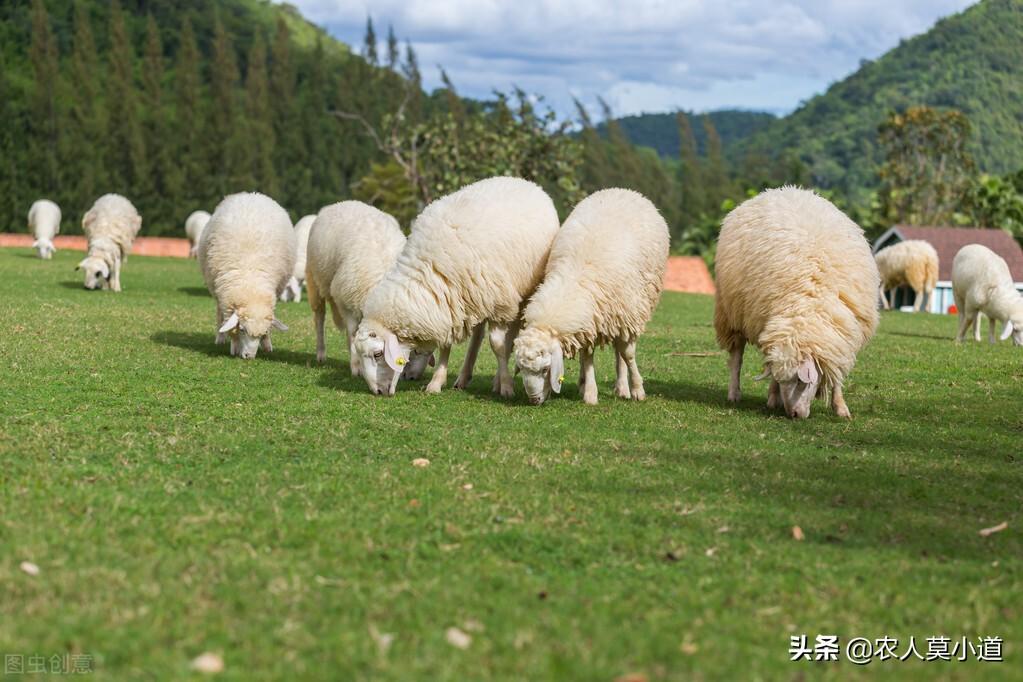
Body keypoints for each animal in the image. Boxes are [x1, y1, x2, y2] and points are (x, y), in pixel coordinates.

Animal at [197, 192, 296, 359]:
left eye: (263, 332)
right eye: (242, 329)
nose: (248, 356)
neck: (250, 280)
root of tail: (250, 195)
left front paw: (267, 345)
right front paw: (234, 346)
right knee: (219, 314)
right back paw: (220, 338)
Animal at [302, 200, 431, 382]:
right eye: (416, 350)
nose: (411, 377)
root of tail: (343, 202)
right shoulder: (347, 302)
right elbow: (352, 333)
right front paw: (356, 368)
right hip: (315, 279)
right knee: (319, 317)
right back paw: (321, 353)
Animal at [351, 175, 560, 396]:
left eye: (377, 354)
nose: (378, 391)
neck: (427, 269)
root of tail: (525, 181)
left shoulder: (499, 303)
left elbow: (498, 345)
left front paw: (506, 385)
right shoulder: (450, 303)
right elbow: (446, 346)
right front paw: (436, 382)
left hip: (522, 290)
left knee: (508, 337)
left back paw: (497, 380)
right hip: (478, 298)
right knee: (478, 335)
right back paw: (463, 377)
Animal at [511, 187, 671, 404]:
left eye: (545, 369)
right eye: (522, 369)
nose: (534, 400)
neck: (575, 278)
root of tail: (622, 190)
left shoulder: (628, 315)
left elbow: (628, 354)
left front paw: (638, 390)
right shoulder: (590, 322)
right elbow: (587, 357)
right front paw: (590, 393)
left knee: (620, 352)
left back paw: (623, 388)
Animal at [712, 188, 879, 421]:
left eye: (801, 381)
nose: (794, 414)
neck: (808, 304)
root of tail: (780, 190)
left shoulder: (840, 336)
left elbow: (836, 374)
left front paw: (840, 407)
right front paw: (774, 397)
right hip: (731, 313)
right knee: (736, 357)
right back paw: (735, 393)